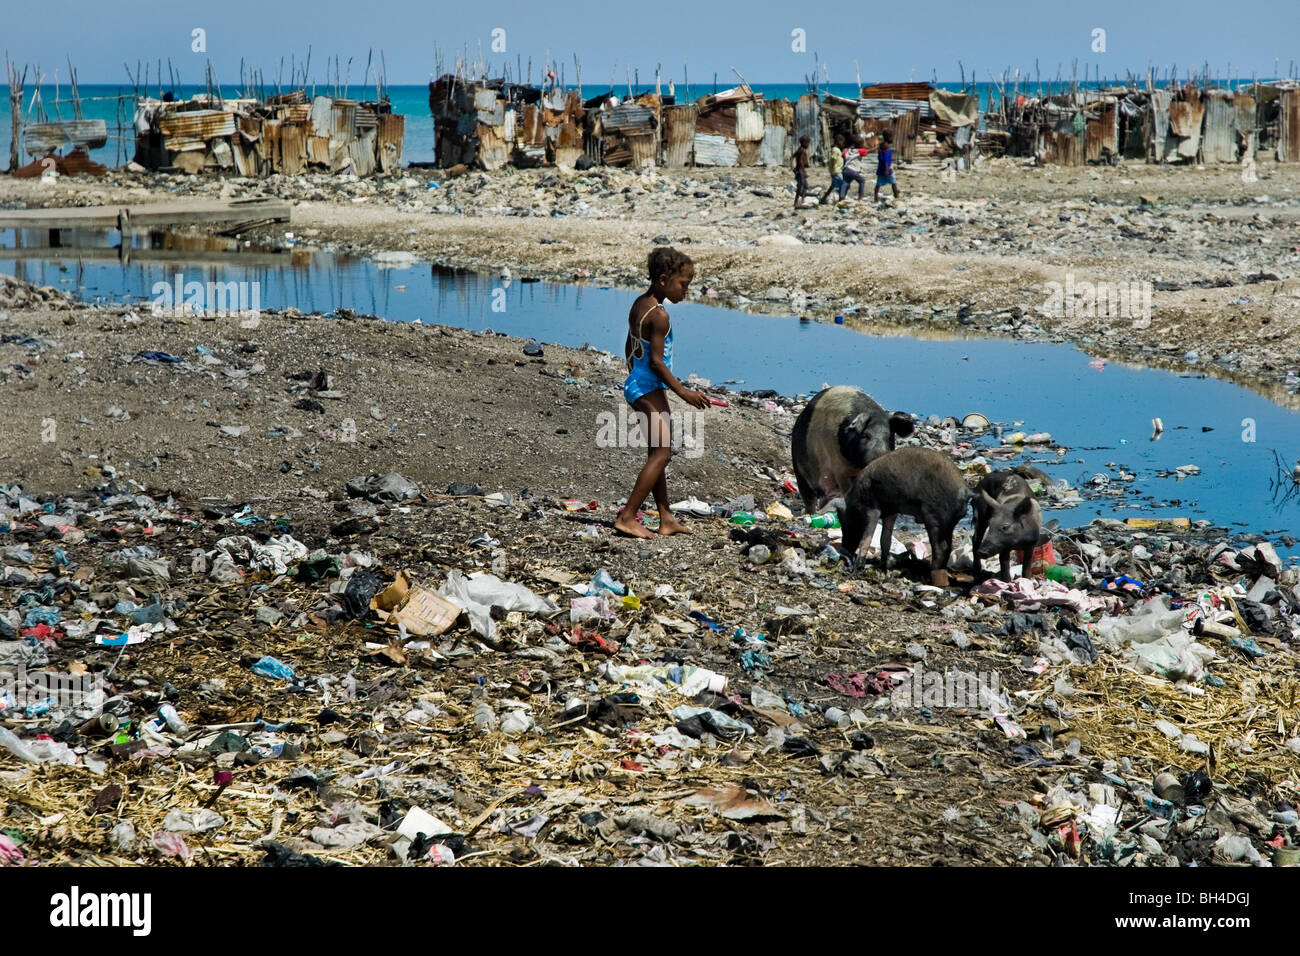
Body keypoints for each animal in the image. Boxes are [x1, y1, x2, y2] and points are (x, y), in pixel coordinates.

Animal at [790, 385, 915, 515]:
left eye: (889, 436)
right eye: (865, 435)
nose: (880, 455)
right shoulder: (840, 468)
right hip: (800, 467)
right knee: (809, 497)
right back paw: (810, 514)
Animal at [837, 447, 972, 587]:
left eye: (844, 525)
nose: (843, 553)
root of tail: (966, 490)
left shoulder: (872, 511)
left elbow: (866, 539)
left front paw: (856, 570)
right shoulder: (891, 514)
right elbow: (885, 540)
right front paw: (883, 569)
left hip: (934, 517)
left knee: (941, 548)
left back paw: (933, 580)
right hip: (948, 524)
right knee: (949, 546)